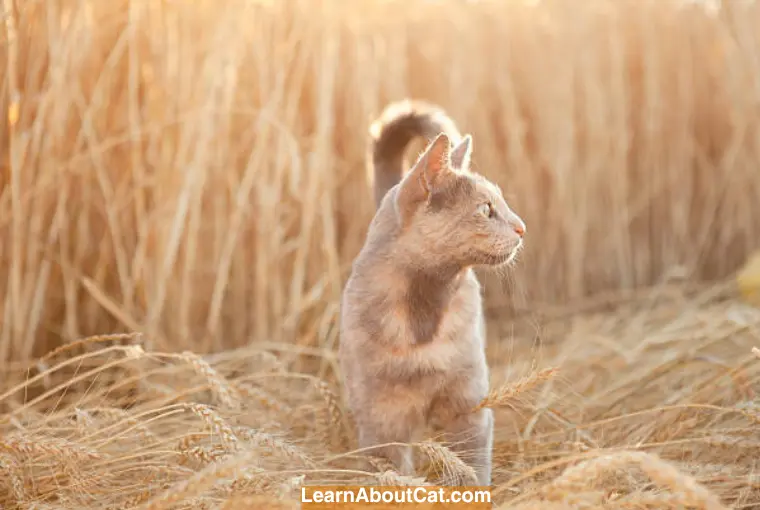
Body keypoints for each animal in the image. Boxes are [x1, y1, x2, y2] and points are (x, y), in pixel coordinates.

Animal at [336, 99, 524, 486]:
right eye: (486, 209)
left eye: (501, 204)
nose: (522, 227)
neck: (425, 306)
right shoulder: (382, 422)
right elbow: (392, 471)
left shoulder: (468, 407)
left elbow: (472, 466)